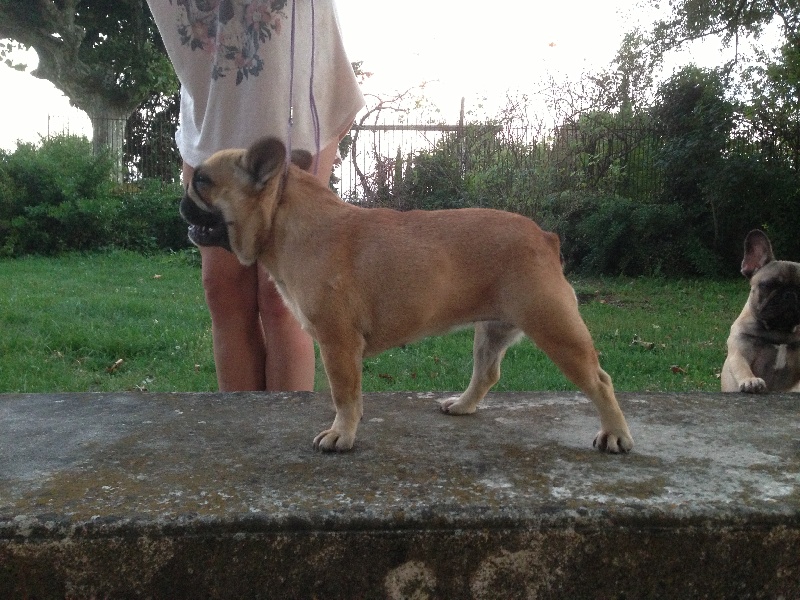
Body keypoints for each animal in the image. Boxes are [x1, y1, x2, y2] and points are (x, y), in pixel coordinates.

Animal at [180, 137, 634, 453]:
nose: (182, 199)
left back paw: (615, 434)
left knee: (599, 380)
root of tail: (544, 238)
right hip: (492, 330)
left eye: (202, 181)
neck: (283, 219)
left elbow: (345, 395)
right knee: (487, 373)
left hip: (554, 327)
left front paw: (341, 435)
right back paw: (463, 405)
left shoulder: (337, 343)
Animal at [721, 229, 800, 393]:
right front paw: (751, 381)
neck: (779, 330)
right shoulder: (739, 352)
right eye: (768, 285)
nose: (790, 294)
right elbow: (742, 367)